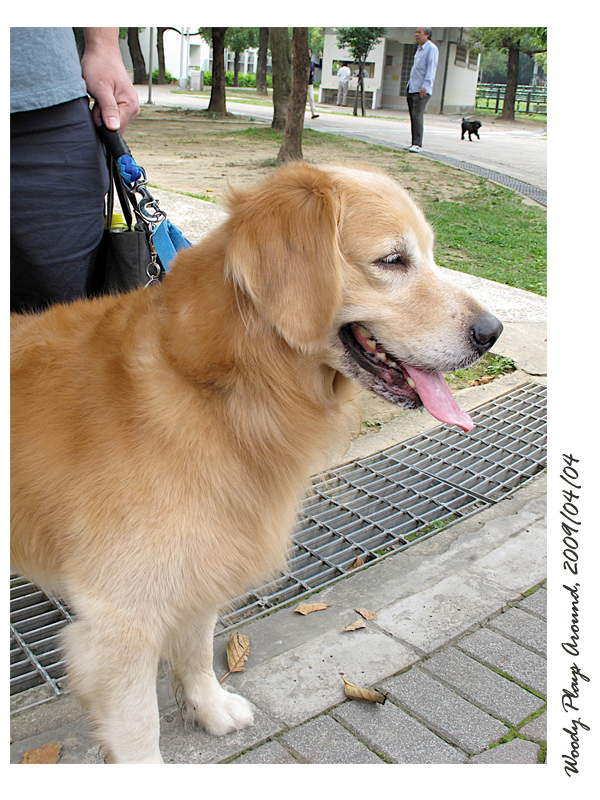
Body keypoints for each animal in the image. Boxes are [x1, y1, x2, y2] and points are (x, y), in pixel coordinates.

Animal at [11, 163, 502, 763]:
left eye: (430, 254)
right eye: (393, 260)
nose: (492, 333)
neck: (217, 383)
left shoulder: (203, 557)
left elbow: (196, 646)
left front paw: (209, 708)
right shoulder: (120, 618)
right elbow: (138, 727)